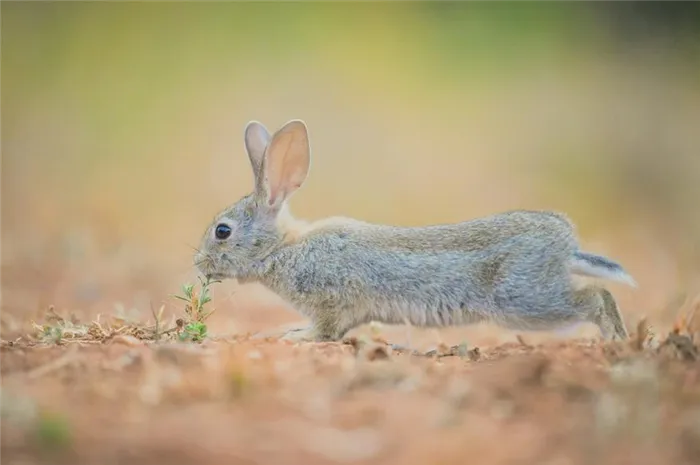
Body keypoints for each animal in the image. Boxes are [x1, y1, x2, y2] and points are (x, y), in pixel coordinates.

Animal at [194, 119, 636, 342]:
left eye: (222, 231)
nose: (199, 264)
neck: (282, 248)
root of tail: (565, 245)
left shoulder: (333, 302)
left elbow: (325, 332)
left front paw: (292, 336)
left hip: (524, 300)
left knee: (597, 297)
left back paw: (617, 341)